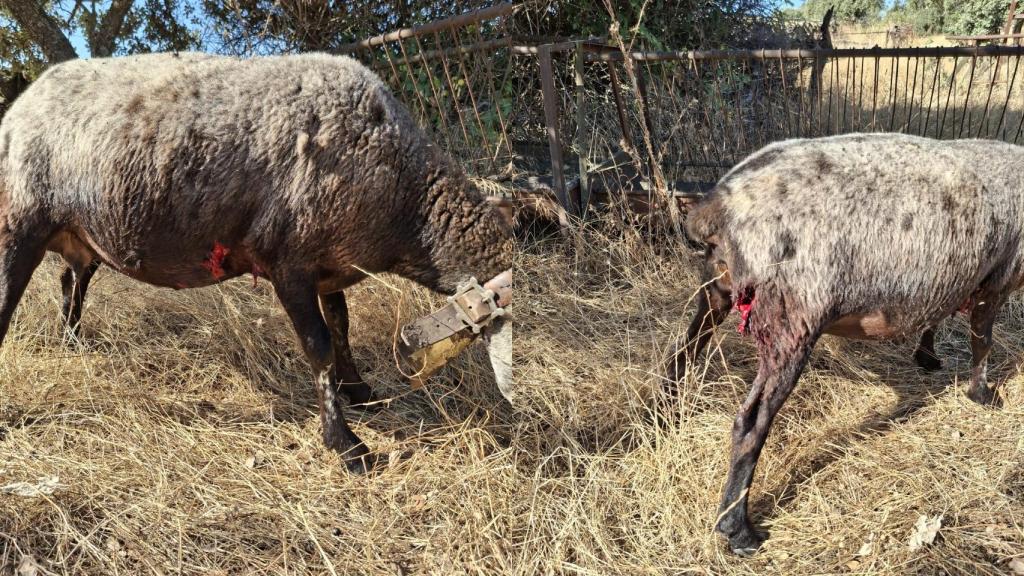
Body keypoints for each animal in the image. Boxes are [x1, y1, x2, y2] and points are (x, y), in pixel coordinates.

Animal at [0, 52, 513, 473]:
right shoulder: (289, 263)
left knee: (70, 282)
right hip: (19, 221)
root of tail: (21, 102)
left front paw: (360, 393)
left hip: (81, 237)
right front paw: (346, 445)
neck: (404, 198)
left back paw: (72, 342)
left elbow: (341, 328)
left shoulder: (330, 266)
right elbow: (320, 347)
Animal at [665, 132, 1020, 555]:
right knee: (749, 424)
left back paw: (665, 416)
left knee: (679, 356)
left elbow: (936, 316)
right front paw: (982, 394)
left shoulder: (954, 279)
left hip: (716, 288)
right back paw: (738, 530)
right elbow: (982, 342)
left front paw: (927, 355)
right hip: (792, 318)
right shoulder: (997, 279)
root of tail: (720, 202)